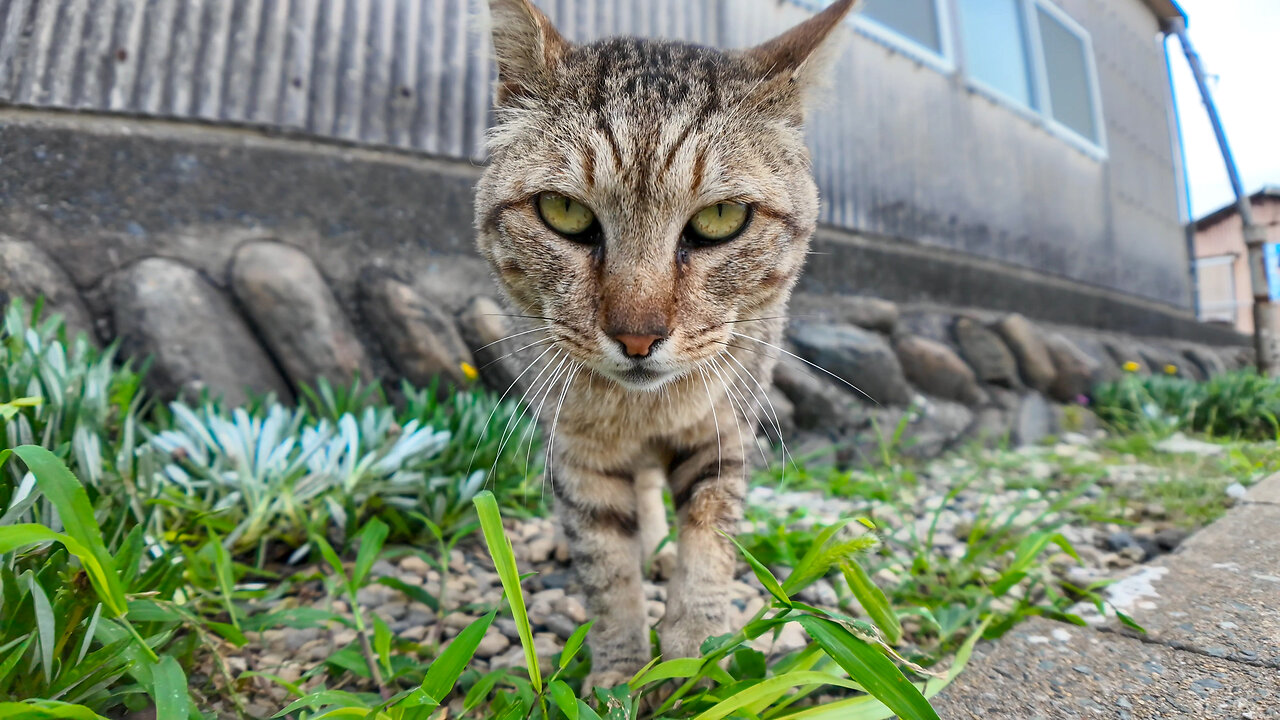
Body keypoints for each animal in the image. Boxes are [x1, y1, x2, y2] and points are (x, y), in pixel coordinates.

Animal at [476, 0, 855, 686]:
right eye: (563, 212)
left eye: (721, 219)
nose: (637, 335)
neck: (647, 410)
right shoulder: (580, 450)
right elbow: (605, 569)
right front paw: (621, 674)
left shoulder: (724, 431)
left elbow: (711, 542)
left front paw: (693, 658)